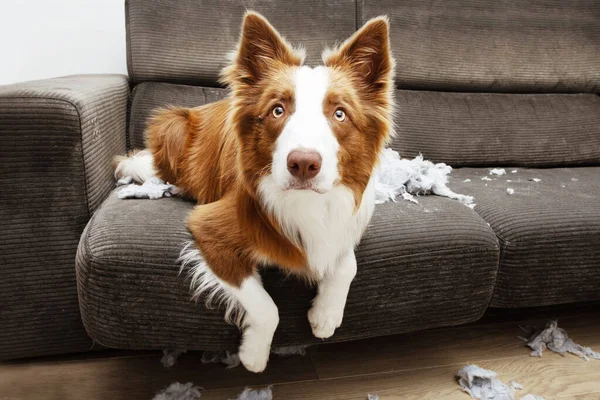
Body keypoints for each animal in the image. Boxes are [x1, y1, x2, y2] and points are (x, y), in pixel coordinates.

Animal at [117, 11, 396, 372]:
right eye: (278, 110)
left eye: (339, 114)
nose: (303, 164)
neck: (305, 202)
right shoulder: (208, 226)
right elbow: (266, 306)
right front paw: (253, 355)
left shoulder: (343, 223)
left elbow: (347, 263)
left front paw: (326, 315)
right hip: (172, 126)